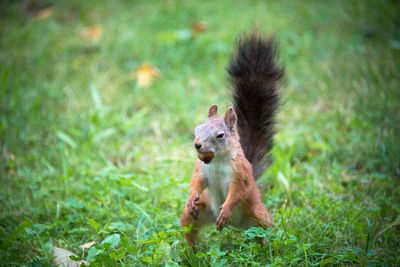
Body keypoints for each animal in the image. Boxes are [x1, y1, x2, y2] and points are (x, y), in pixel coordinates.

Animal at [180, 31, 282, 247]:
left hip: (257, 214)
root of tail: (237, 225)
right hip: (200, 212)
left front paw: (226, 208)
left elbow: (238, 192)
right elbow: (196, 182)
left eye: (220, 135)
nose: (197, 145)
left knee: (264, 230)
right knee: (190, 228)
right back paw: (191, 251)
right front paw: (192, 197)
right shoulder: (200, 170)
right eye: (197, 129)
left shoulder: (241, 173)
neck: (217, 161)